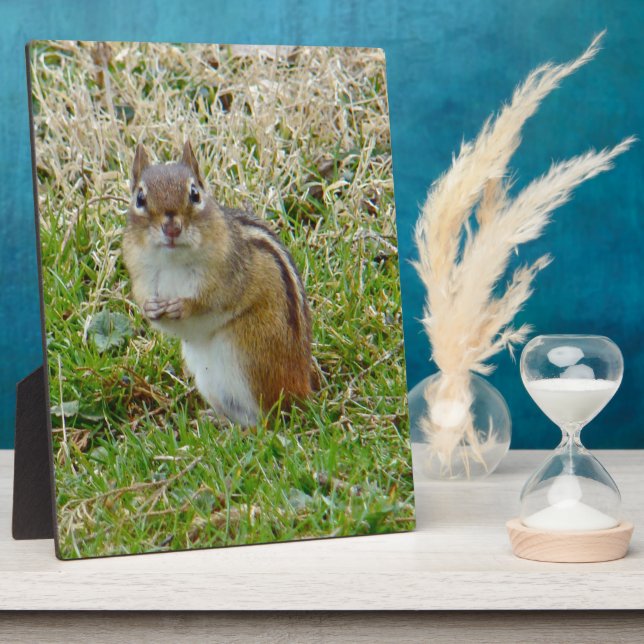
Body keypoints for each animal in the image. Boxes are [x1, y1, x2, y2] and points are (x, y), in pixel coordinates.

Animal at [122, 141, 315, 426]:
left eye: (194, 193)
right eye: (140, 198)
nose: (171, 228)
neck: (172, 262)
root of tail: (302, 388)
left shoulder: (229, 275)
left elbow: (213, 300)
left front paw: (184, 306)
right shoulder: (142, 278)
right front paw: (151, 309)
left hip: (249, 354)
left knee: (266, 421)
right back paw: (214, 419)